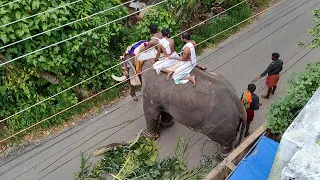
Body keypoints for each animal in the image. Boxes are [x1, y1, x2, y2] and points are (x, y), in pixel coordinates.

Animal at [112, 53, 248, 155]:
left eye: (123, 68)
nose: (134, 98)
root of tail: (240, 108)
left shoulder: (150, 91)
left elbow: (151, 113)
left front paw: (148, 136)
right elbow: (164, 110)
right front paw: (166, 124)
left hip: (221, 127)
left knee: (224, 144)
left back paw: (220, 156)